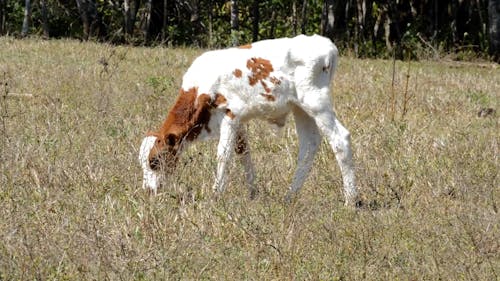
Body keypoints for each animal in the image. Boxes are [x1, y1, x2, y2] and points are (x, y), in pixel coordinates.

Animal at [139, 34, 358, 206]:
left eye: (154, 161)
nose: (148, 191)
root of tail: (325, 44)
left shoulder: (230, 114)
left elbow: (223, 155)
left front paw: (216, 194)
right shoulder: (239, 121)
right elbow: (243, 152)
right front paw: (253, 192)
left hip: (316, 102)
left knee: (340, 139)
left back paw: (351, 200)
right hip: (300, 108)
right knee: (309, 145)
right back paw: (290, 196)